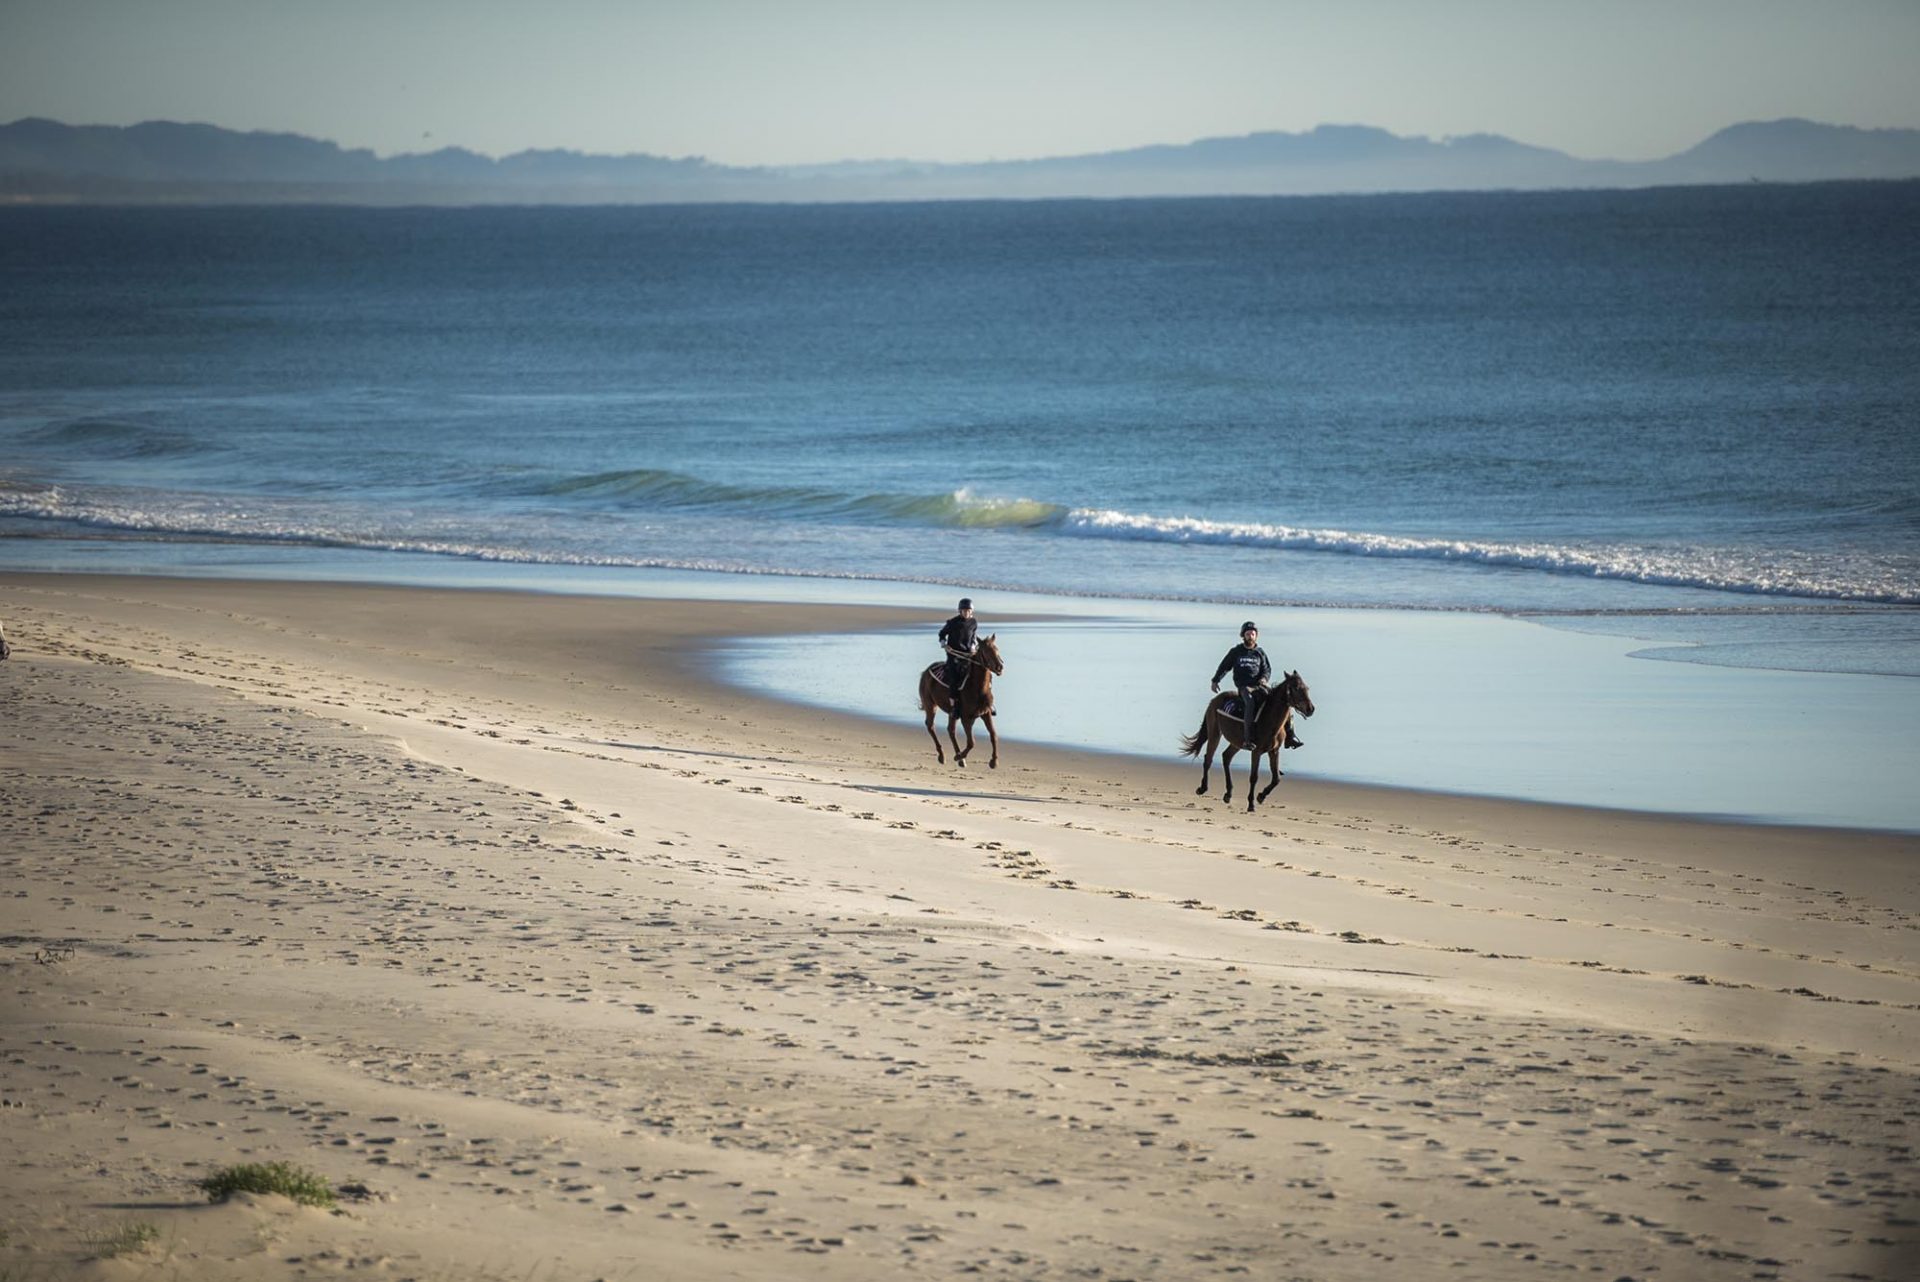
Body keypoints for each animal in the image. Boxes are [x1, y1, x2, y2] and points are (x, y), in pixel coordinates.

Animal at [917, 633, 1006, 767]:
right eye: (985, 651)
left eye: (997, 649)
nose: (1000, 667)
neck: (977, 688)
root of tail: (926, 671)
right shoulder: (966, 718)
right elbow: (971, 742)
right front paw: (959, 756)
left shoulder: (986, 713)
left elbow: (993, 735)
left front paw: (994, 761)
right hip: (930, 705)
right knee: (931, 726)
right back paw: (943, 756)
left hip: (951, 712)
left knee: (950, 730)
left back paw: (959, 758)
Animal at [1175, 671, 1313, 809]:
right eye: (1296, 688)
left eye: (1306, 688)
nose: (1311, 709)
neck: (1269, 718)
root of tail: (1214, 700)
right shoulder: (1256, 751)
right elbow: (1254, 777)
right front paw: (1251, 804)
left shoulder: (1274, 751)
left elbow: (1276, 779)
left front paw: (1261, 796)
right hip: (1214, 733)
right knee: (1208, 759)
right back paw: (1202, 788)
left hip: (1236, 742)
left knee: (1226, 757)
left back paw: (1228, 794)